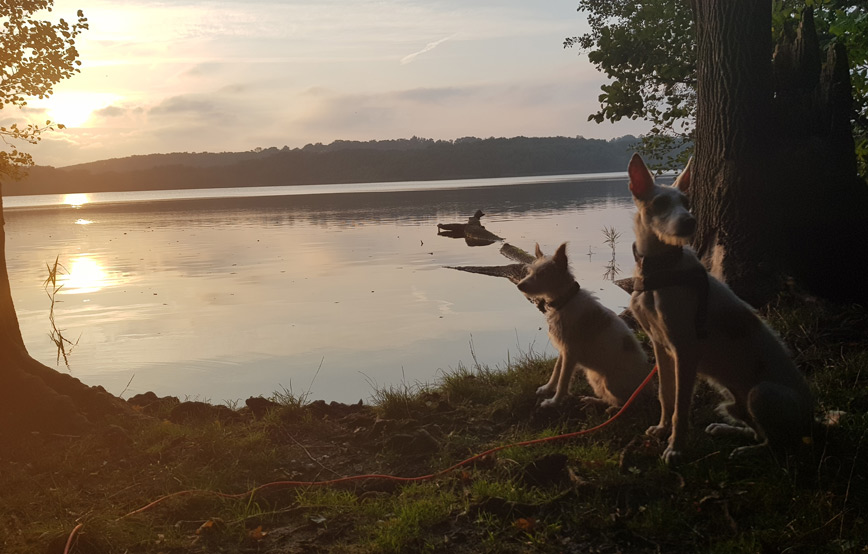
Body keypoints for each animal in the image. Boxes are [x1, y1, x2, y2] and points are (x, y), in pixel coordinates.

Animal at [516, 244, 652, 408]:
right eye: (530, 271)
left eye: (543, 274)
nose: (519, 285)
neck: (565, 301)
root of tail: (648, 390)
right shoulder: (563, 350)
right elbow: (556, 371)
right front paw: (547, 388)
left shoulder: (570, 353)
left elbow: (563, 381)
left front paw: (554, 402)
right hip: (594, 378)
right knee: (610, 399)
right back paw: (591, 400)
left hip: (609, 383)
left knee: (623, 403)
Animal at [628, 152, 812, 462]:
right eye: (660, 203)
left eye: (687, 202)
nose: (690, 222)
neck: (660, 270)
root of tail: (814, 420)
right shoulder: (660, 346)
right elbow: (666, 395)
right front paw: (662, 430)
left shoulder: (685, 350)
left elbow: (681, 407)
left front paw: (675, 448)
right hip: (731, 400)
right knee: (757, 430)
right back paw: (727, 430)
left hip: (762, 393)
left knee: (777, 445)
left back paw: (746, 451)